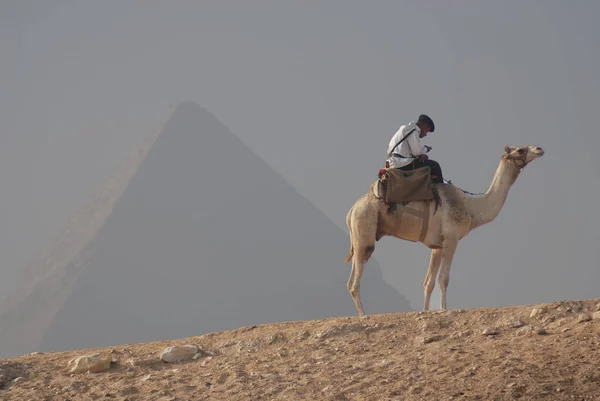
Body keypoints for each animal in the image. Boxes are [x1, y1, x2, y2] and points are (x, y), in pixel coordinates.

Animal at [342, 144, 544, 316]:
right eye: (520, 150)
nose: (539, 149)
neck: (471, 207)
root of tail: (351, 210)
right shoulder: (451, 238)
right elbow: (443, 278)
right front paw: (444, 309)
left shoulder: (437, 245)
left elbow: (428, 282)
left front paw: (425, 311)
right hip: (364, 229)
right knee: (355, 280)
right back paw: (364, 316)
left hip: (358, 233)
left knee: (351, 279)